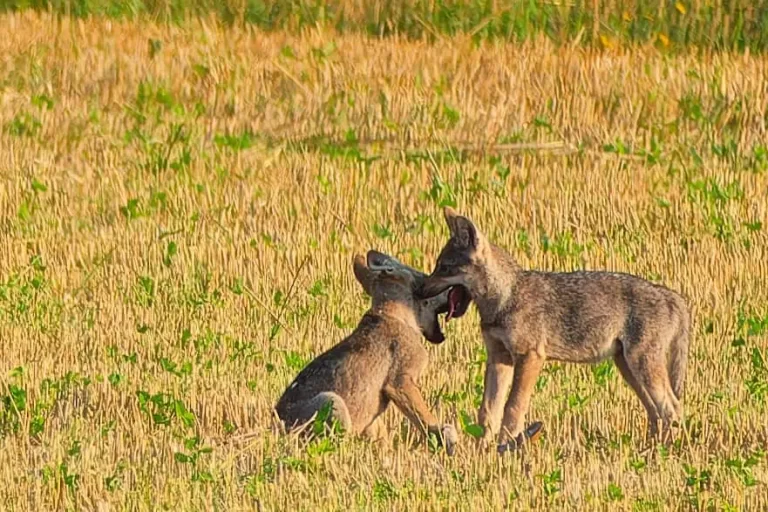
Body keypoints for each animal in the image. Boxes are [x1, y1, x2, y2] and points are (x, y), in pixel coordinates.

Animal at [275, 250, 458, 454]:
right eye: (424, 278)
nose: (452, 290)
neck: (395, 315)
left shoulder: (374, 415)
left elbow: (382, 438)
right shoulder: (400, 382)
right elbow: (424, 417)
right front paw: (444, 438)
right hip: (332, 402)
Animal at [418, 207, 690, 452]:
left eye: (444, 268)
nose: (419, 290)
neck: (504, 298)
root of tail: (672, 295)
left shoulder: (530, 358)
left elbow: (513, 407)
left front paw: (506, 448)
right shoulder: (499, 358)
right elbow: (487, 411)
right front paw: (480, 452)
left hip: (641, 366)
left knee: (672, 408)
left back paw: (667, 452)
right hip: (628, 368)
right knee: (656, 412)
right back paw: (649, 451)